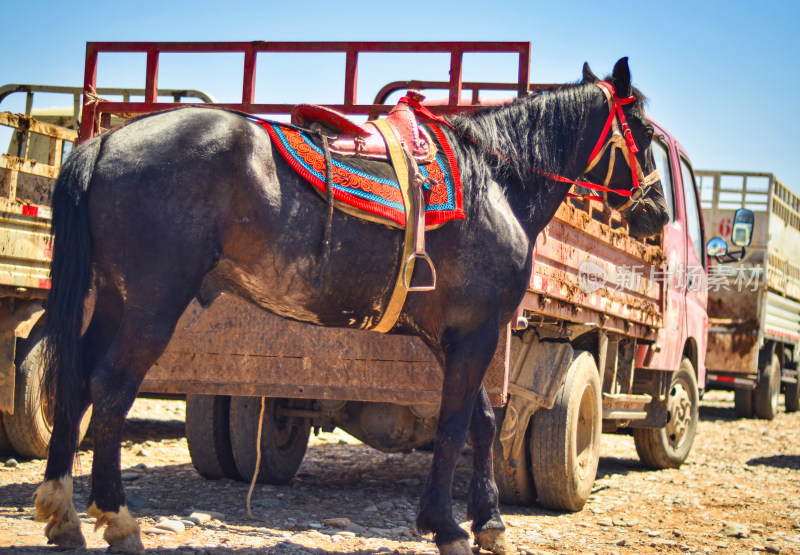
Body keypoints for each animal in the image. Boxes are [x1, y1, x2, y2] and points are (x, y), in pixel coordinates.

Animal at [32, 57, 668, 555]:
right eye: (642, 131)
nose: (658, 212)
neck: (496, 182)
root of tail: (105, 141)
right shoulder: (478, 331)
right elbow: (456, 426)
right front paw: (447, 527)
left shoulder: (448, 336)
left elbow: (481, 423)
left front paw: (488, 522)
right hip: (151, 306)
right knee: (111, 388)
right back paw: (117, 520)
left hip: (114, 300)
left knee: (75, 380)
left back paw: (63, 516)